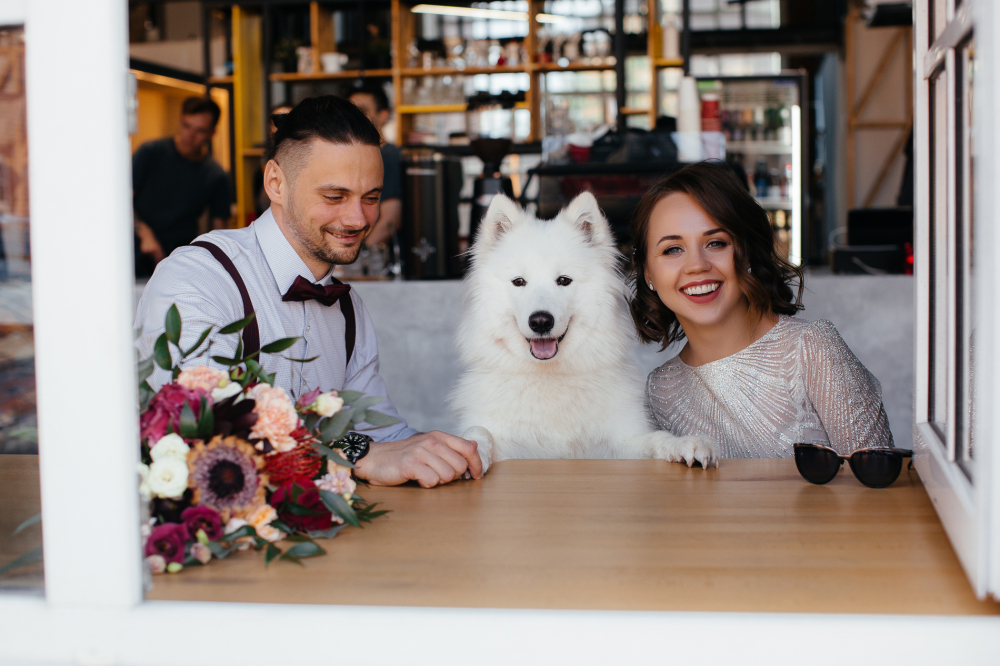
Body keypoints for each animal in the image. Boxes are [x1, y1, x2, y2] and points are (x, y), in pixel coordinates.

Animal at [452, 192, 720, 472]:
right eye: (519, 282)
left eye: (563, 280)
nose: (540, 321)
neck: (550, 377)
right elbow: (479, 432)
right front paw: (466, 454)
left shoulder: (622, 443)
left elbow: (657, 438)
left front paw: (686, 444)